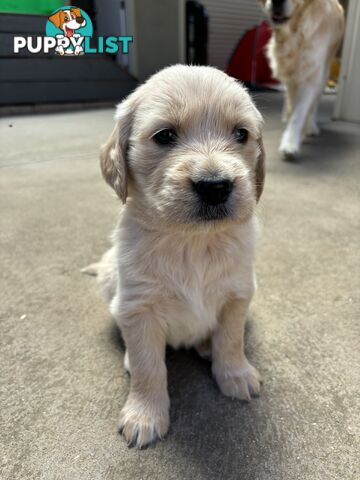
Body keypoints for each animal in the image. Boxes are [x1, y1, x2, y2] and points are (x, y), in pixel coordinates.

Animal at [91, 65, 264, 448]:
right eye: (165, 136)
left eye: (241, 133)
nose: (215, 186)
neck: (192, 243)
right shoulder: (138, 307)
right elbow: (149, 367)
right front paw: (145, 415)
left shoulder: (238, 295)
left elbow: (231, 340)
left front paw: (235, 373)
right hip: (111, 281)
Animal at [258, 0, 344, 159]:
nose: (277, 2)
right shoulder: (291, 77)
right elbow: (293, 106)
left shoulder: (311, 75)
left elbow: (299, 113)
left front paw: (290, 143)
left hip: (324, 73)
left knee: (314, 104)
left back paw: (311, 126)